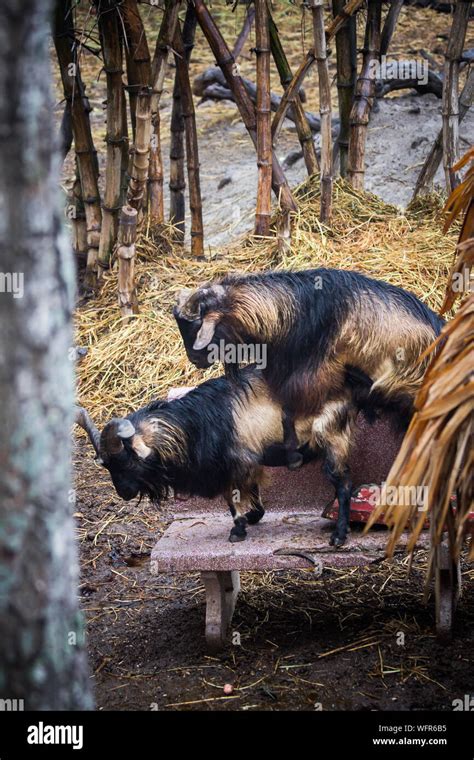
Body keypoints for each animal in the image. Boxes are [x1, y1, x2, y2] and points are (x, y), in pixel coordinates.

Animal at [75, 365, 319, 543]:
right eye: (107, 466)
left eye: (127, 461)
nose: (124, 493)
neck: (199, 422)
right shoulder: (248, 463)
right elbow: (253, 493)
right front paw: (253, 517)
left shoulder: (233, 466)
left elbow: (234, 500)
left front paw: (238, 531)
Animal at [173, 268, 444, 546]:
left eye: (195, 328)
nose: (195, 360)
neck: (292, 311)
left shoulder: (316, 379)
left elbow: (288, 412)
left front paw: (293, 455)